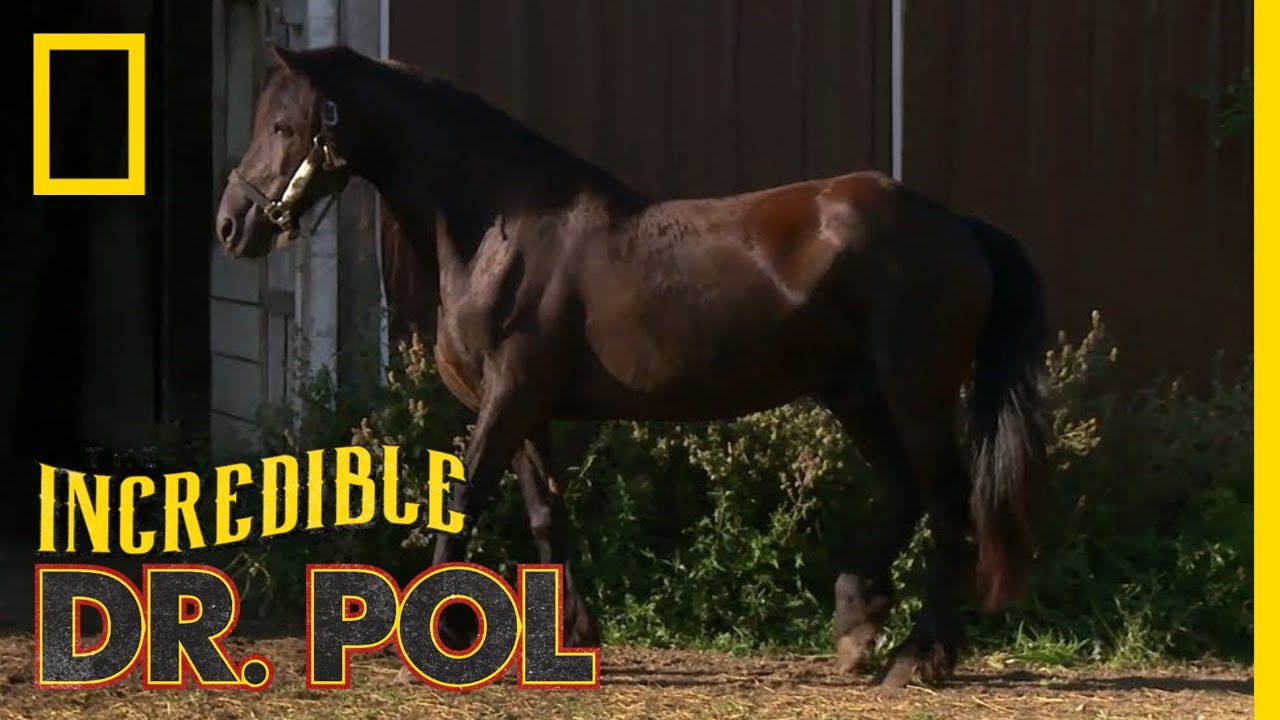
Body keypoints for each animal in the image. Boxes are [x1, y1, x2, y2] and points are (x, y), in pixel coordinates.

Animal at [214, 43, 1050, 687]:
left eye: (284, 126)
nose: (232, 224)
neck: (502, 231)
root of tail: (955, 225)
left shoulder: (509, 400)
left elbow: (464, 498)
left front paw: (431, 636)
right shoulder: (524, 408)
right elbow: (548, 516)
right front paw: (575, 637)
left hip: (913, 394)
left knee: (948, 505)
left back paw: (917, 657)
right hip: (856, 395)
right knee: (907, 494)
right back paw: (858, 624)